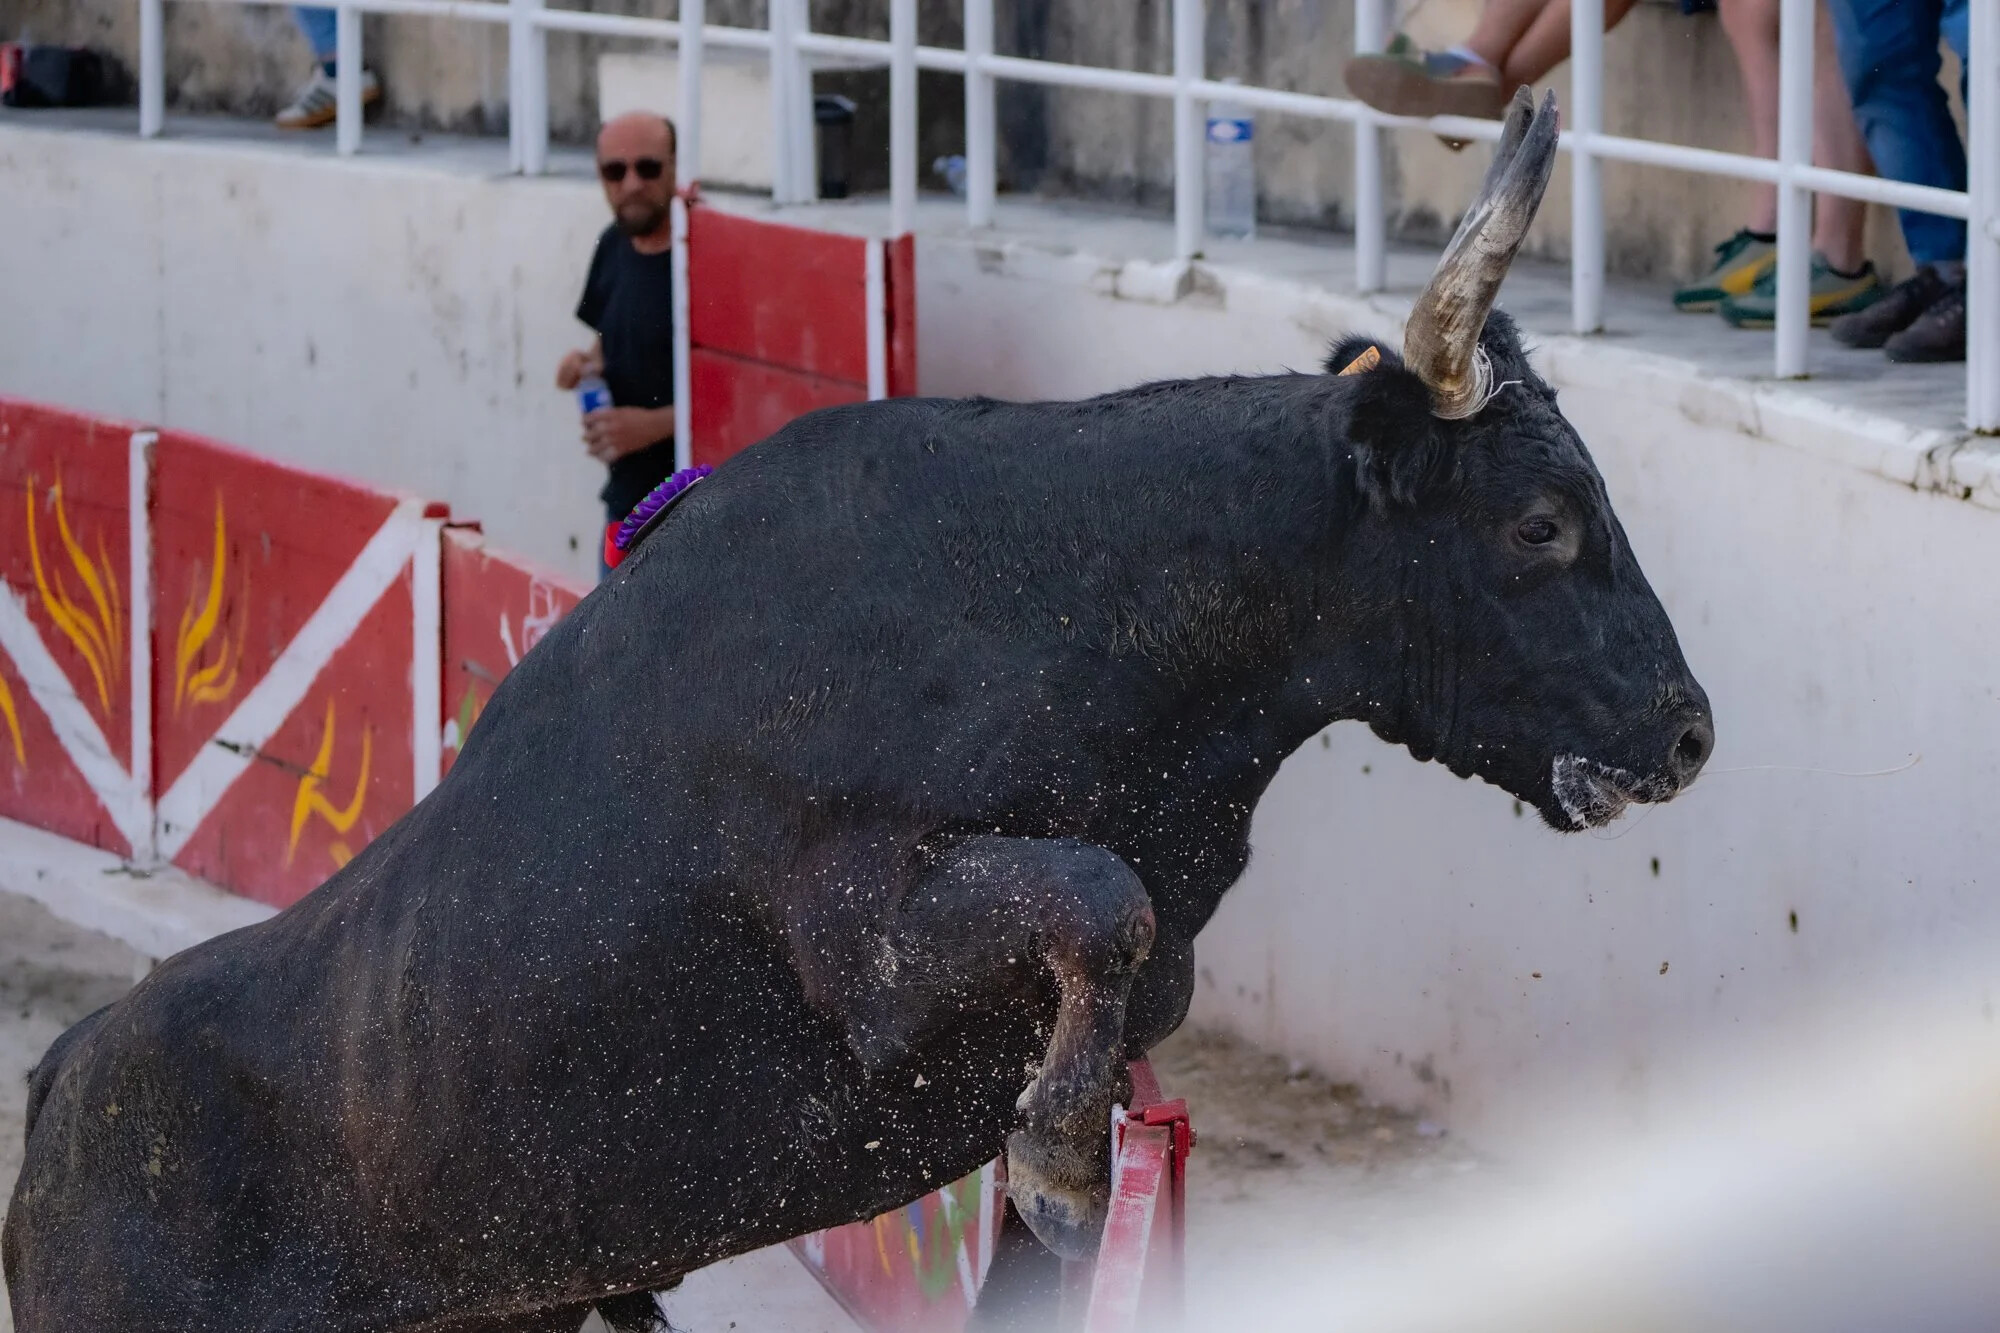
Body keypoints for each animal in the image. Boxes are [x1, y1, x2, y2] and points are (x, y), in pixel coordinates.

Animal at [5, 90, 1710, 1332]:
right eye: (1541, 523)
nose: (1689, 730)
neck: (1071, 599)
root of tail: (60, 1081)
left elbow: (1123, 957)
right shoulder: (871, 938)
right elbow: (1099, 901)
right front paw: (1061, 1163)